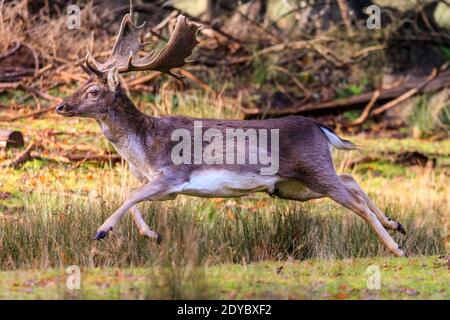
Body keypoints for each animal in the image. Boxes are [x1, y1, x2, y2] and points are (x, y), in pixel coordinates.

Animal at [54, 3, 406, 256]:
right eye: (80, 84)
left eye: (93, 91)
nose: (60, 106)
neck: (141, 152)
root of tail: (319, 126)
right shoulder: (161, 186)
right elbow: (133, 197)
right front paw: (152, 235)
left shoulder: (172, 175)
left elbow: (129, 194)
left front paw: (101, 230)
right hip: (291, 186)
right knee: (350, 179)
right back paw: (396, 224)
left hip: (313, 169)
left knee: (354, 200)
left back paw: (396, 248)